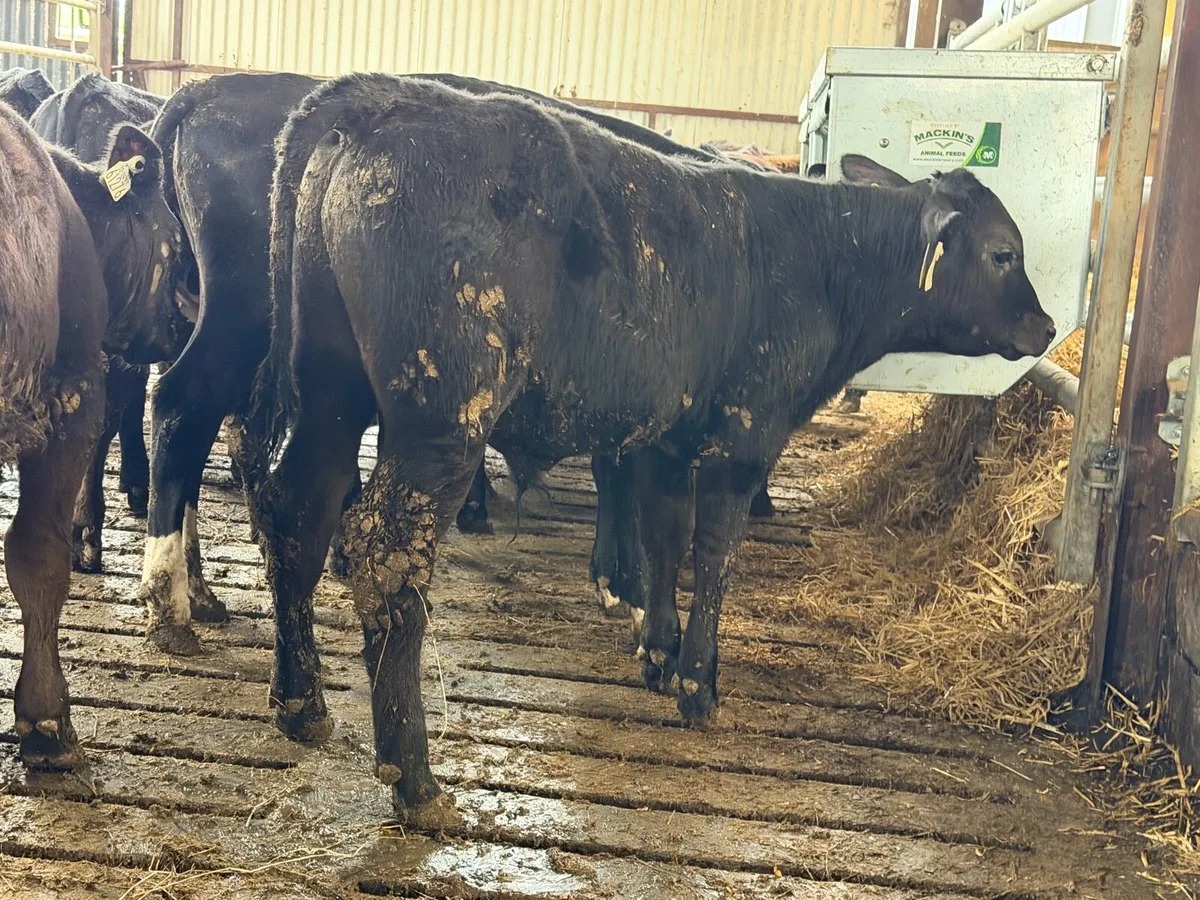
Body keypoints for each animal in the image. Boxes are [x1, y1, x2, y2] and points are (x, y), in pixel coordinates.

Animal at [247, 74, 1055, 822]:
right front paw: (700, 685)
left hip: (330, 391)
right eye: (1003, 253)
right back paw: (414, 780)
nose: (1045, 328)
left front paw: (659, 652)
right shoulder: (744, 437)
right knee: (384, 554)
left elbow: (665, 537)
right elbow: (714, 553)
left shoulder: (670, 440)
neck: (819, 260)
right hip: (442, 417)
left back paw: (301, 704)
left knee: (298, 512)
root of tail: (386, 97)